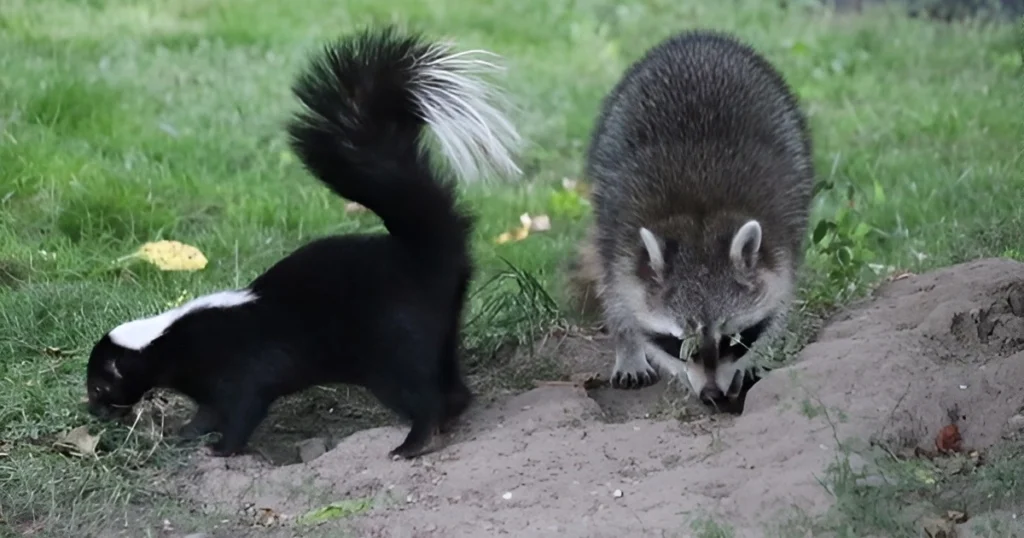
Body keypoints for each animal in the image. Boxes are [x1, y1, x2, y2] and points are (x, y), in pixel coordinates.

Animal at [83, 26, 524, 457]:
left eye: (100, 384)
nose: (94, 410)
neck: (170, 338)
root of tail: (423, 247)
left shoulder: (239, 366)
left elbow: (244, 405)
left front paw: (223, 449)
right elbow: (209, 409)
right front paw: (188, 433)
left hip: (391, 339)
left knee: (419, 389)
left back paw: (413, 442)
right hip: (441, 324)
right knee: (449, 378)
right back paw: (450, 415)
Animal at [569, 29, 815, 405]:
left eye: (733, 340)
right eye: (679, 345)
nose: (712, 394)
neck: (700, 219)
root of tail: (698, 37)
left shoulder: (784, 225)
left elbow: (779, 298)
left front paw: (752, 358)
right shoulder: (618, 226)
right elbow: (618, 290)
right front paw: (629, 344)